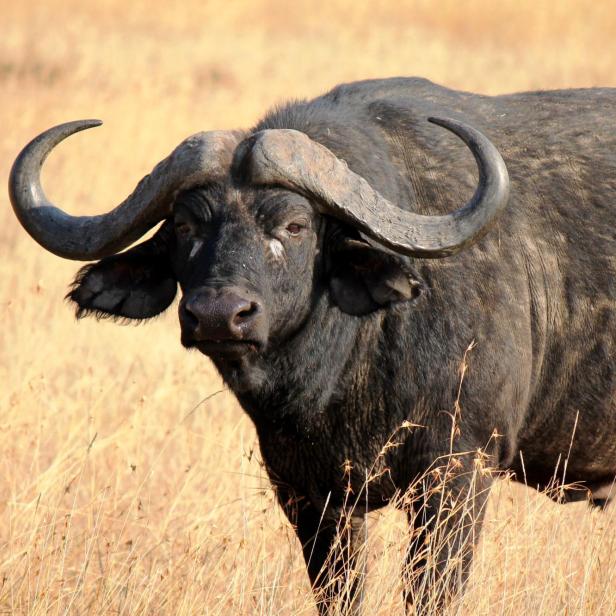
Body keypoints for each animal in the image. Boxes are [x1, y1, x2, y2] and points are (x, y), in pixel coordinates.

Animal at [8, 79, 616, 612]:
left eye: (295, 226)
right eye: (184, 226)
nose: (218, 314)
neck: (344, 373)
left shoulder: (457, 475)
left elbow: (430, 593)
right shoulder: (308, 493)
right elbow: (338, 592)